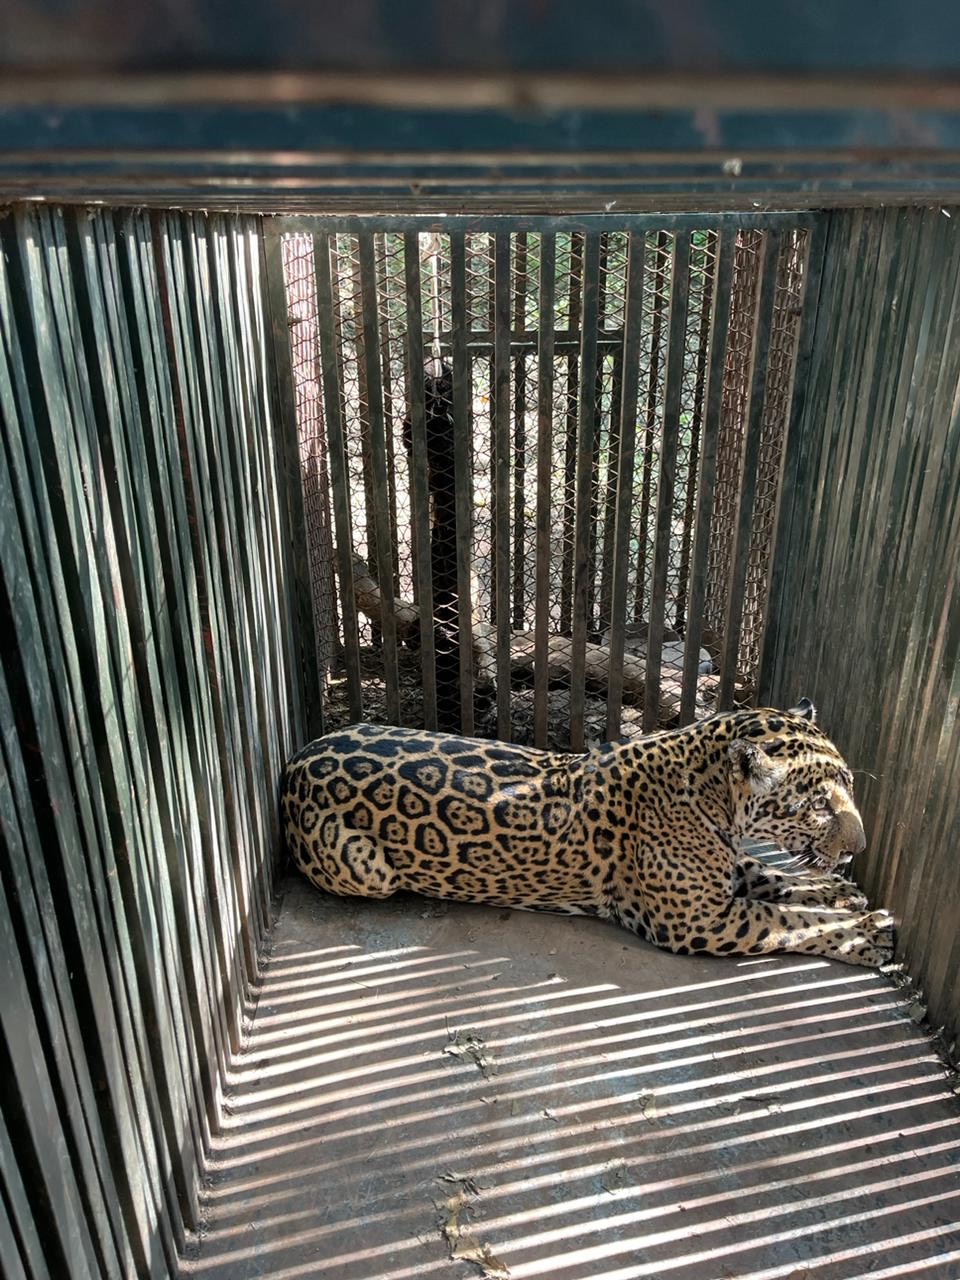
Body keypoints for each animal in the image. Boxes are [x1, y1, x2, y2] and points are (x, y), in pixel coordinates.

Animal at [280, 699, 895, 967]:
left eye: (848, 786)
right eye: (819, 804)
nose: (860, 848)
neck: (713, 798)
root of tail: (297, 757)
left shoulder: (722, 874)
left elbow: (773, 877)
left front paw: (841, 892)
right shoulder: (700, 922)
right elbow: (788, 923)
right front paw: (866, 935)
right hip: (369, 871)